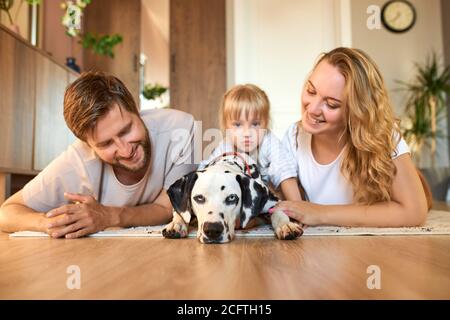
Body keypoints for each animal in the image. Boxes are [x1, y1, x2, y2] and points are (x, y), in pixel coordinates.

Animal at [162, 152, 302, 242]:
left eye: (232, 198)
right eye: (199, 198)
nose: (212, 230)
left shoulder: (271, 200)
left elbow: (278, 210)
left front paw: (286, 225)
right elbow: (179, 212)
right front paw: (176, 224)